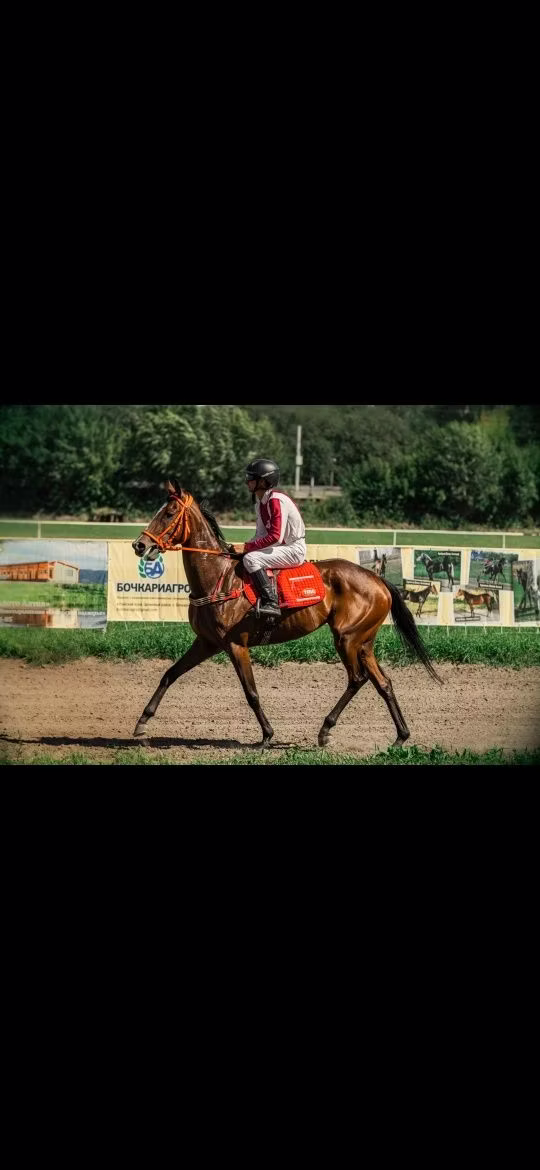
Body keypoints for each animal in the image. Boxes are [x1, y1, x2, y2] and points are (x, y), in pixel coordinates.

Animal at [130, 480, 442, 750]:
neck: (218, 578)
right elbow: (169, 674)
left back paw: (325, 730)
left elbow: (251, 693)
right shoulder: (206, 643)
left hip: (346, 638)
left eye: (169, 513)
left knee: (357, 679)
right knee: (383, 683)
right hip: (364, 642)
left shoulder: (236, 645)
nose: (139, 545)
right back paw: (400, 736)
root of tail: (378, 580)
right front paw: (142, 724)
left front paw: (267, 735)